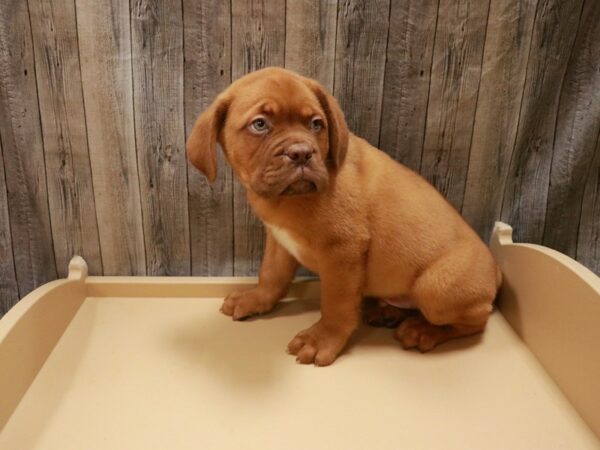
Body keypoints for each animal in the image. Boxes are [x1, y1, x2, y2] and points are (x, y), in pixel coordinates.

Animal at [185, 68, 500, 368]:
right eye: (260, 124)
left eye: (316, 124)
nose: (301, 153)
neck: (288, 199)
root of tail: (497, 273)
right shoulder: (279, 240)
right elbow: (271, 276)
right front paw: (255, 299)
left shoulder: (342, 252)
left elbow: (336, 304)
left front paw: (321, 340)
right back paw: (388, 311)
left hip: (436, 287)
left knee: (476, 321)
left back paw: (423, 330)